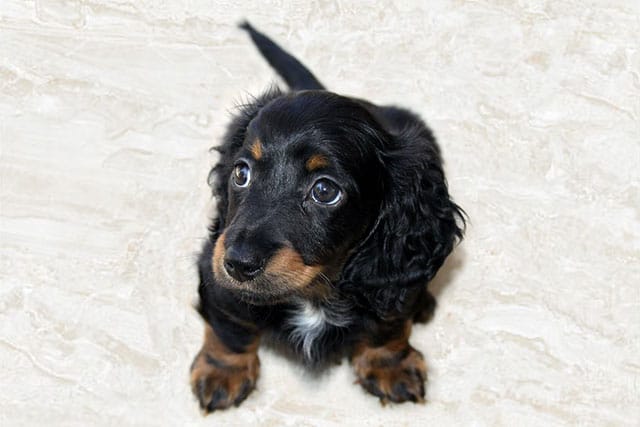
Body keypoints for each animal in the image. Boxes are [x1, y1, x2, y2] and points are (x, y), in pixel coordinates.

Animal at [190, 21, 464, 412]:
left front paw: (390, 365)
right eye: (241, 173)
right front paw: (223, 372)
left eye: (324, 191)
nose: (238, 264)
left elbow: (388, 324)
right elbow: (231, 327)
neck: (315, 291)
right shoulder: (214, 272)